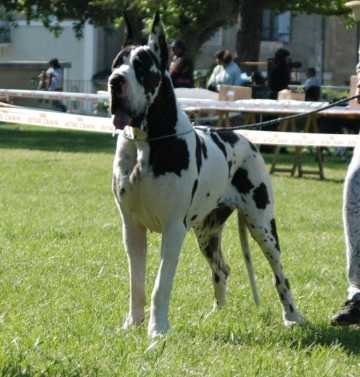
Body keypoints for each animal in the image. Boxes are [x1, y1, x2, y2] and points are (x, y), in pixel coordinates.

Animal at [109, 13, 304, 340]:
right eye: (116, 64)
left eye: (141, 67)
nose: (115, 81)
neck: (147, 141)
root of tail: (245, 139)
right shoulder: (131, 227)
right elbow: (136, 283)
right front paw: (132, 324)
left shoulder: (173, 228)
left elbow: (160, 284)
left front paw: (157, 331)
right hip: (207, 232)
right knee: (221, 269)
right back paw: (217, 314)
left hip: (262, 224)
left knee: (280, 275)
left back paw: (292, 316)